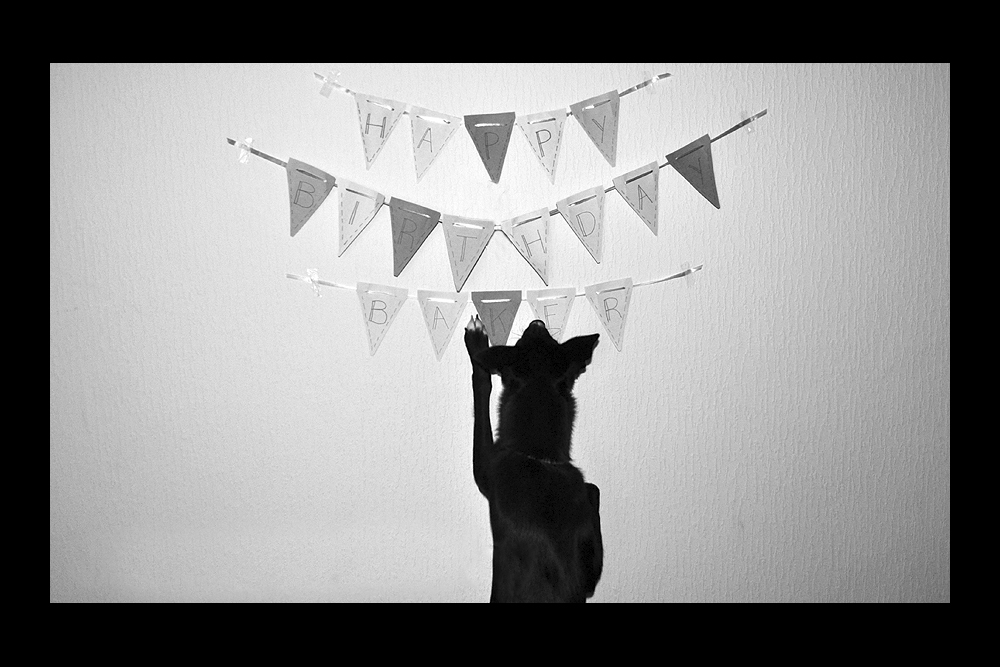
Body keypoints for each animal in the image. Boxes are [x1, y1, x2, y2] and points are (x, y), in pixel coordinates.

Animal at [464, 316, 603, 602]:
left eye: (519, 342)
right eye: (550, 338)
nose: (538, 322)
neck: (540, 461)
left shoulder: (487, 470)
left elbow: (482, 389)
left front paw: (476, 343)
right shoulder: (589, 574)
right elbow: (593, 490)